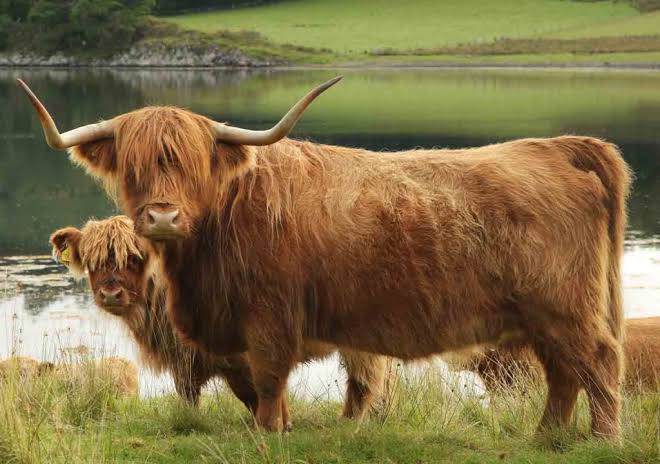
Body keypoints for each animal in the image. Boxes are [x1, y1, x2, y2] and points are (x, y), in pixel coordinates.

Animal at [18, 77, 632, 438]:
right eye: (133, 165)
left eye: (195, 163)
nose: (163, 218)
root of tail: (560, 145)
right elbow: (261, 389)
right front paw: (280, 429)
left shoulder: (269, 319)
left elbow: (267, 383)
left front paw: (268, 436)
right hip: (542, 317)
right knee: (563, 372)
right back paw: (547, 438)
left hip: (566, 307)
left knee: (598, 363)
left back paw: (600, 439)